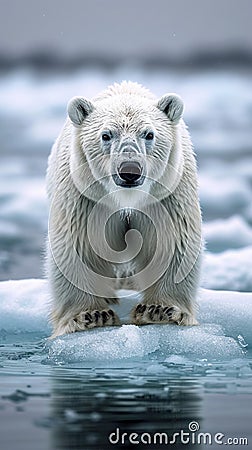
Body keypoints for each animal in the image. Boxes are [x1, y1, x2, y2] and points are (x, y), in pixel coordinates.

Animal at [46, 82, 202, 340]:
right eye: (106, 135)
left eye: (149, 134)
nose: (130, 171)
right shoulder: (86, 197)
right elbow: (77, 246)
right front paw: (90, 315)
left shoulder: (165, 194)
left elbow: (172, 243)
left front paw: (159, 310)